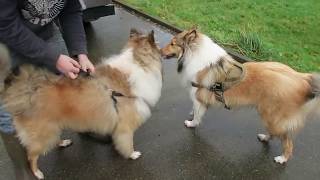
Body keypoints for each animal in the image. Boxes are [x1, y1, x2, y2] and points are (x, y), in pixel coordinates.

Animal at [0, 29, 162, 179]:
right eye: (158, 48)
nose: (164, 53)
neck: (139, 63)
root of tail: (25, 92)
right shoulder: (125, 125)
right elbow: (127, 142)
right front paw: (131, 154)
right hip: (43, 133)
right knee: (31, 156)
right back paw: (37, 173)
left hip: (53, 126)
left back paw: (63, 142)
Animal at [161, 27, 320, 165]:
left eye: (173, 43)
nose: (160, 51)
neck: (194, 55)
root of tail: (302, 78)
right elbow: (196, 110)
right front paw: (192, 114)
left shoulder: (198, 95)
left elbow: (198, 115)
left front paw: (192, 123)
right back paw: (264, 138)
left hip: (272, 116)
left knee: (288, 142)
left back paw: (282, 158)